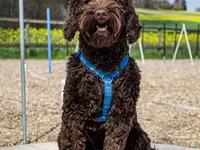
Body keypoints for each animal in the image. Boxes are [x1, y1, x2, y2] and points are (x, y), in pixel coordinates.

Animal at [57, 0, 155, 150]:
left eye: (117, 1)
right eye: (86, 2)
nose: (101, 13)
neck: (103, 58)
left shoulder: (122, 109)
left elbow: (114, 141)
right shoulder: (74, 108)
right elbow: (73, 140)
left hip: (139, 136)